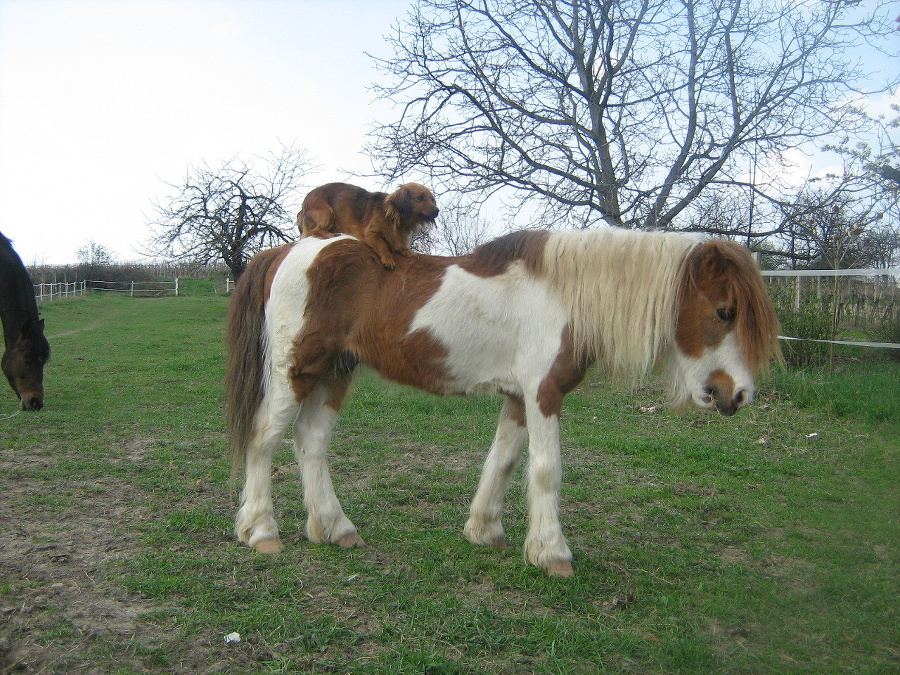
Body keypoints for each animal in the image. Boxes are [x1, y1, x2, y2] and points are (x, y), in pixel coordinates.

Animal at [225, 227, 780, 576]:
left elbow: (505, 460)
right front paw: (552, 553)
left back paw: (335, 528)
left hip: (334, 372)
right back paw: (261, 532)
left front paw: (484, 530)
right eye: (724, 310)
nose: (736, 395)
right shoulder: (543, 392)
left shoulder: (518, 396)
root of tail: (285, 252)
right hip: (294, 371)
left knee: (310, 441)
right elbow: (546, 470)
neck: (565, 296)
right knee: (264, 438)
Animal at [296, 185, 440, 272]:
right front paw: (388, 259)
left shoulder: (397, 236)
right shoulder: (371, 234)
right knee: (314, 231)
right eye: (420, 198)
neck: (395, 218)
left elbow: (398, 245)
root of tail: (303, 206)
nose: (437, 211)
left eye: (433, 200)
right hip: (328, 213)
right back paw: (331, 234)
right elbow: (383, 245)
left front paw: (408, 252)